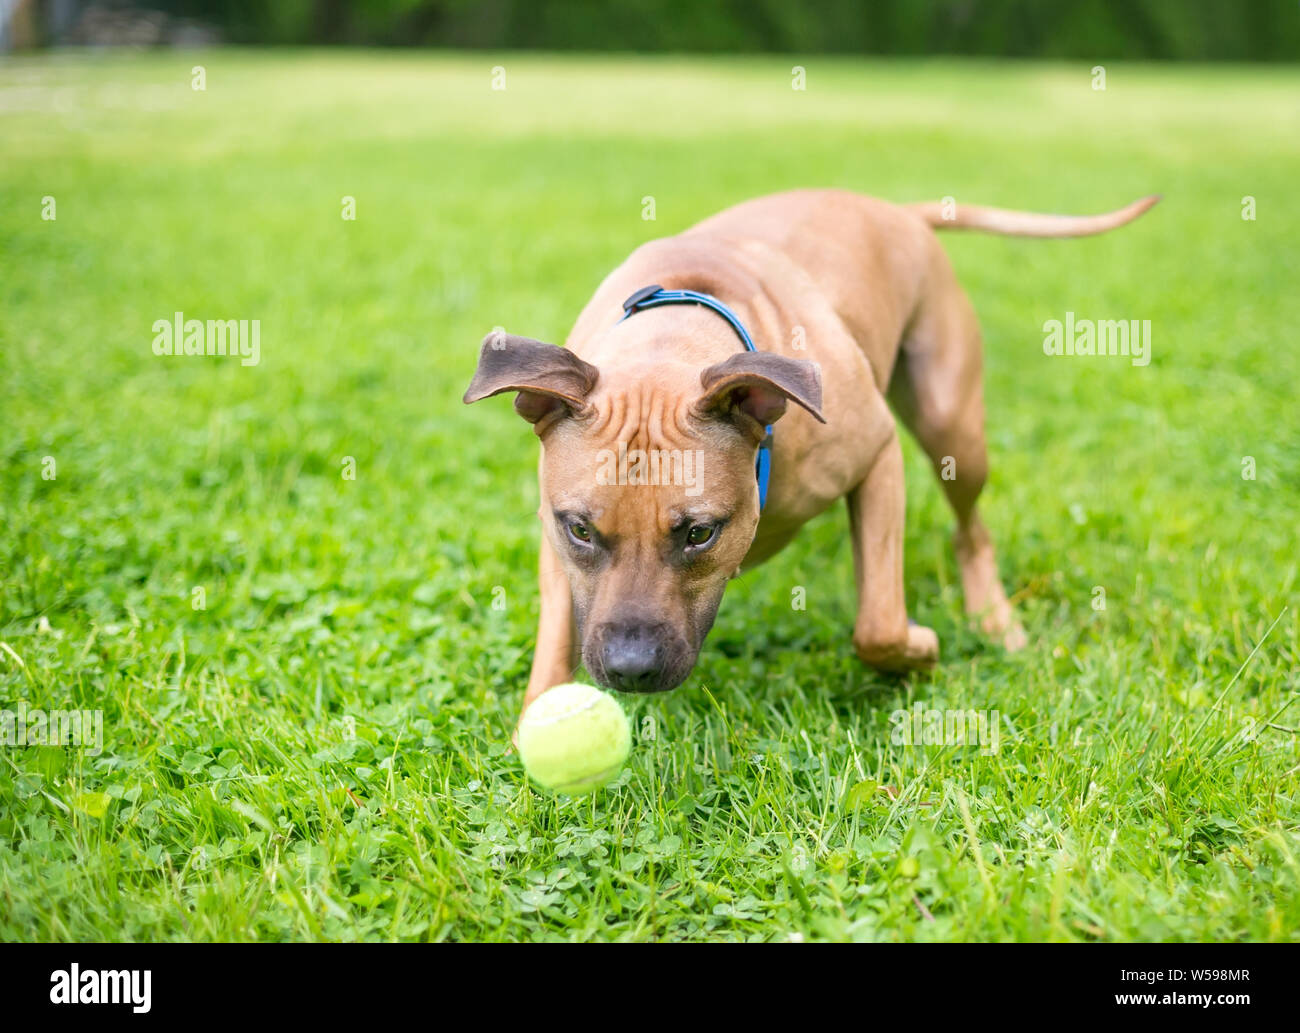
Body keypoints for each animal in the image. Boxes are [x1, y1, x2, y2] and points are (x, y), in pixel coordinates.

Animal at [467, 188, 1159, 717]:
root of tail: (896, 210)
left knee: (971, 531)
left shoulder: (876, 456)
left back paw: (992, 617)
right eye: (580, 530)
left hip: (952, 428)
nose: (630, 668)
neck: (675, 335)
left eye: (699, 533)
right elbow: (555, 638)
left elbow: (879, 625)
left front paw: (920, 650)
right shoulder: (551, 535)